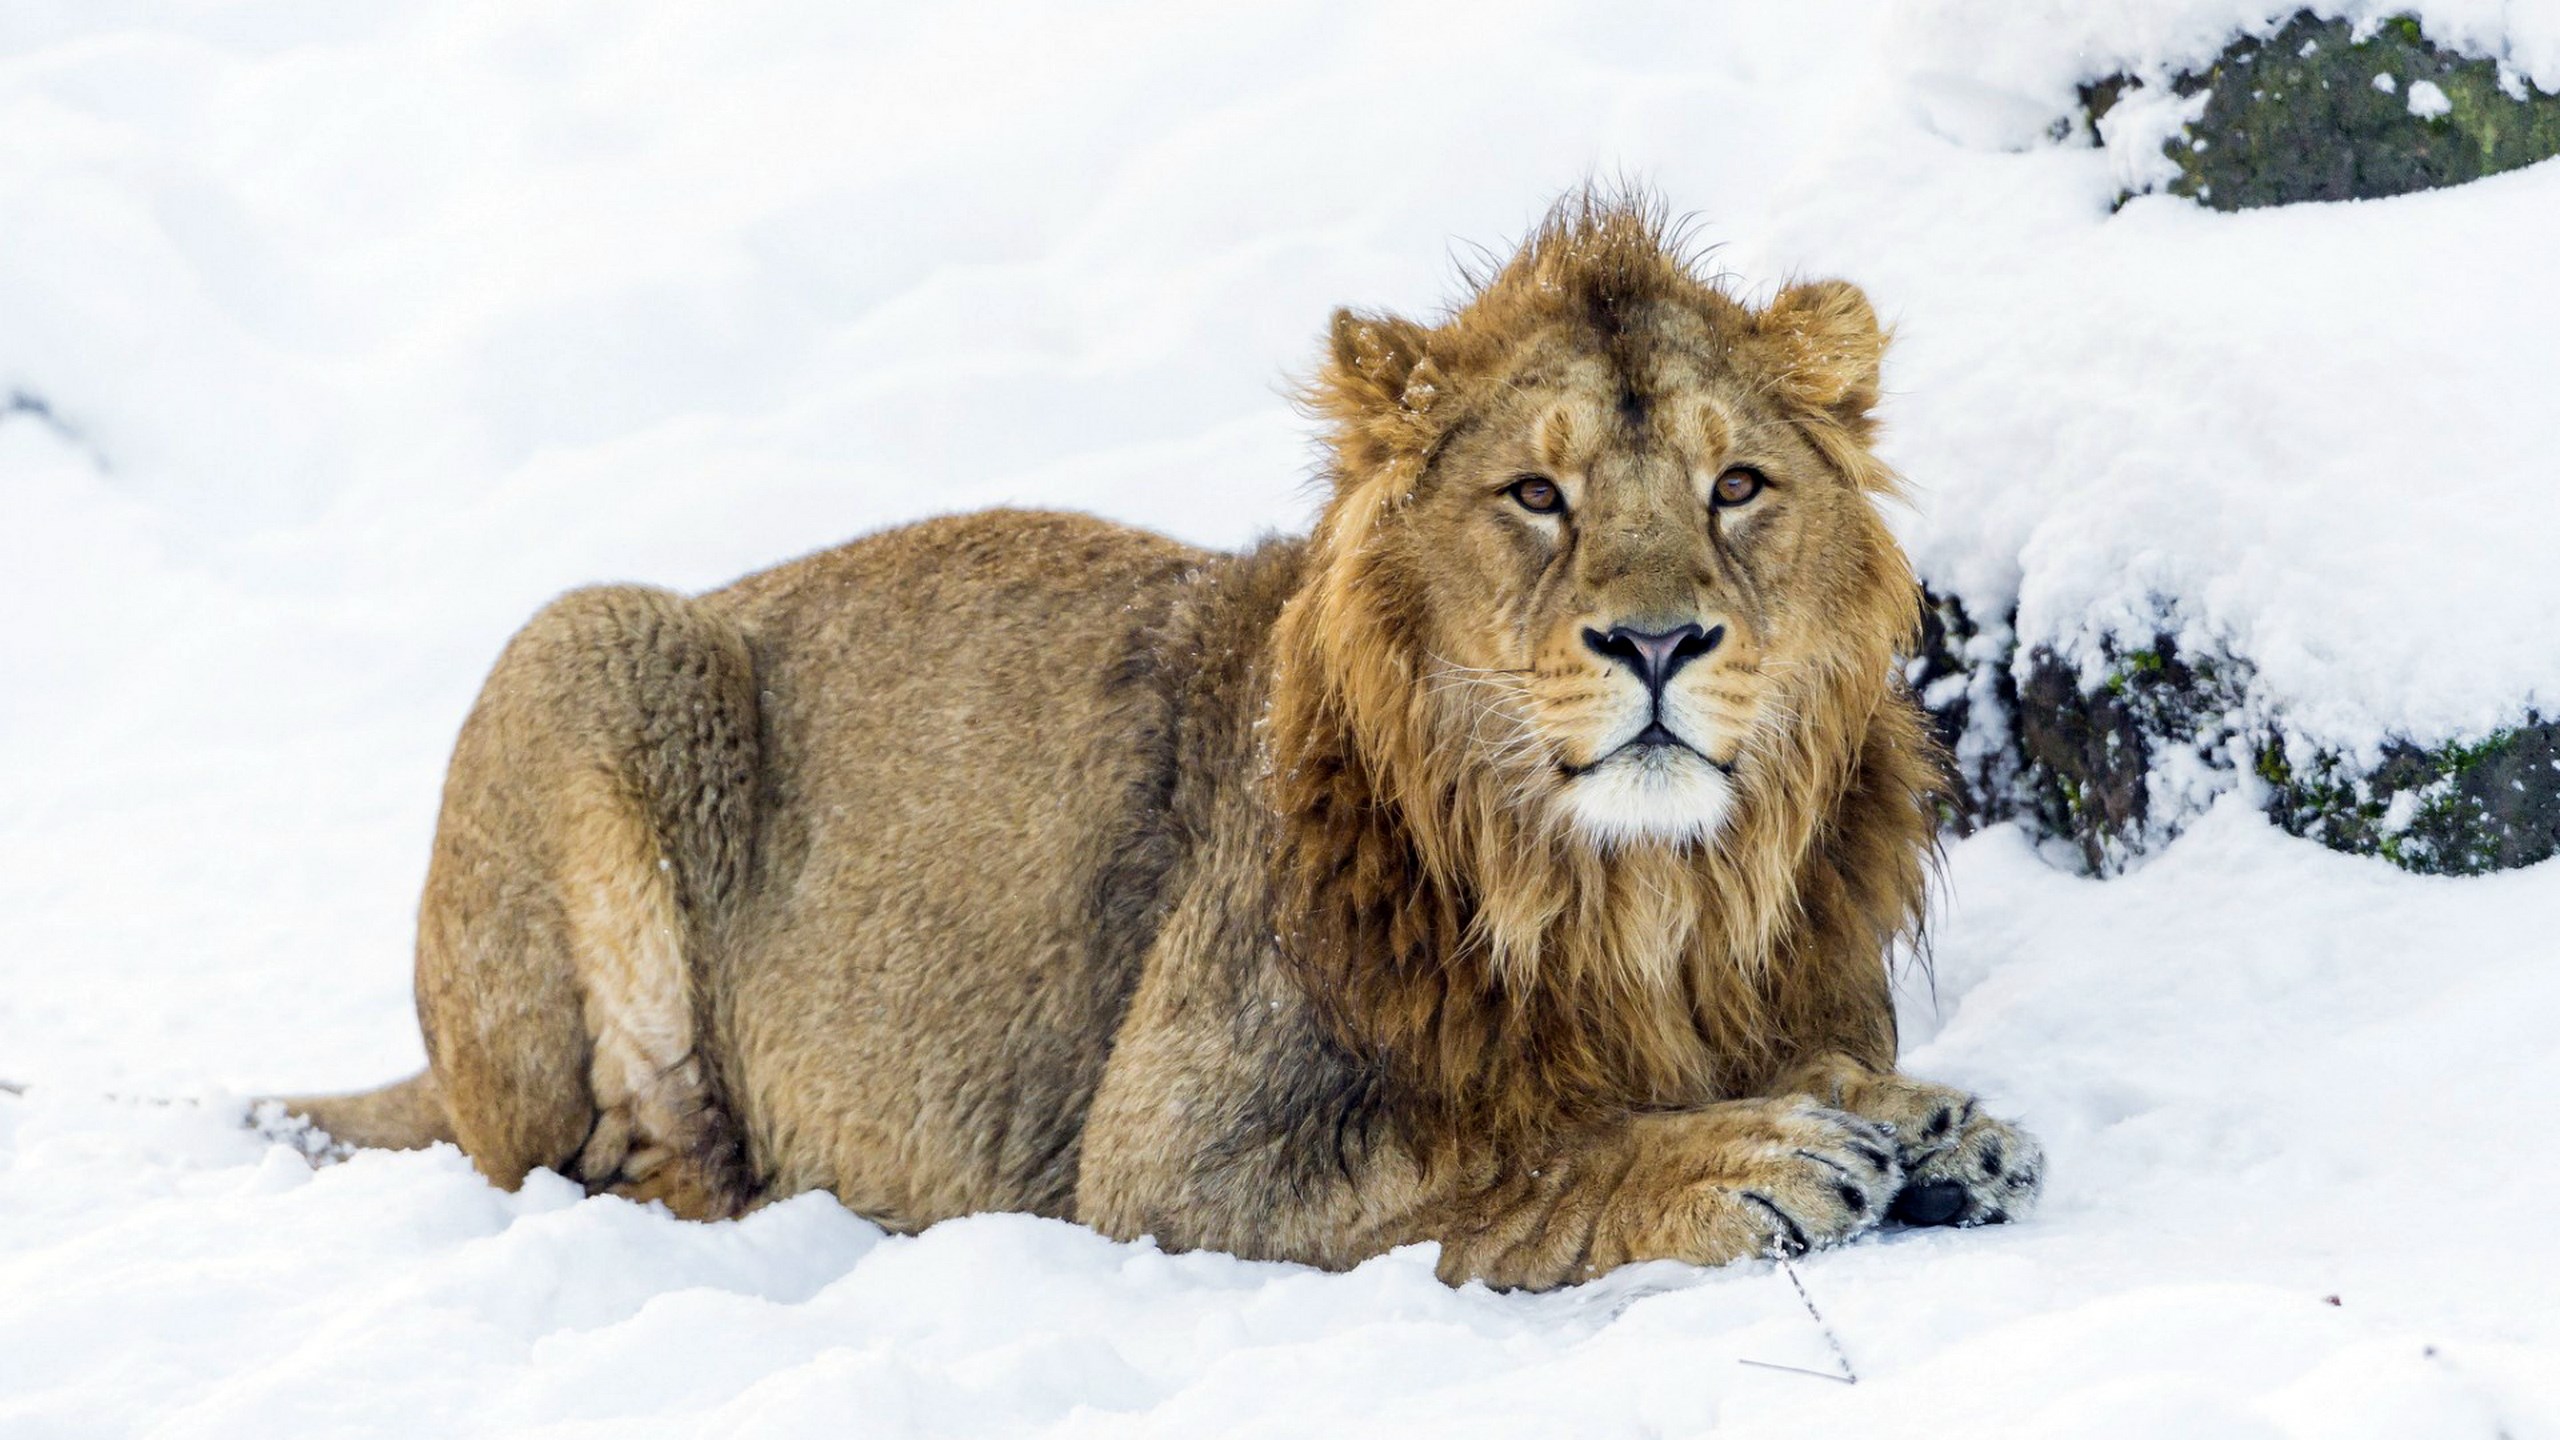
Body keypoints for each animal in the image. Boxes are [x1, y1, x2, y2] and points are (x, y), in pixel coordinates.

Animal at [287, 195, 2042, 1288]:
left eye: (1735, 484)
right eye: (1537, 496)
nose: (1662, 641)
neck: (1638, 899)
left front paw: (1925, 1123)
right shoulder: (1173, 1166)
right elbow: (1509, 1161)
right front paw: (1748, 1158)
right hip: (591, 640)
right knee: (608, 1162)